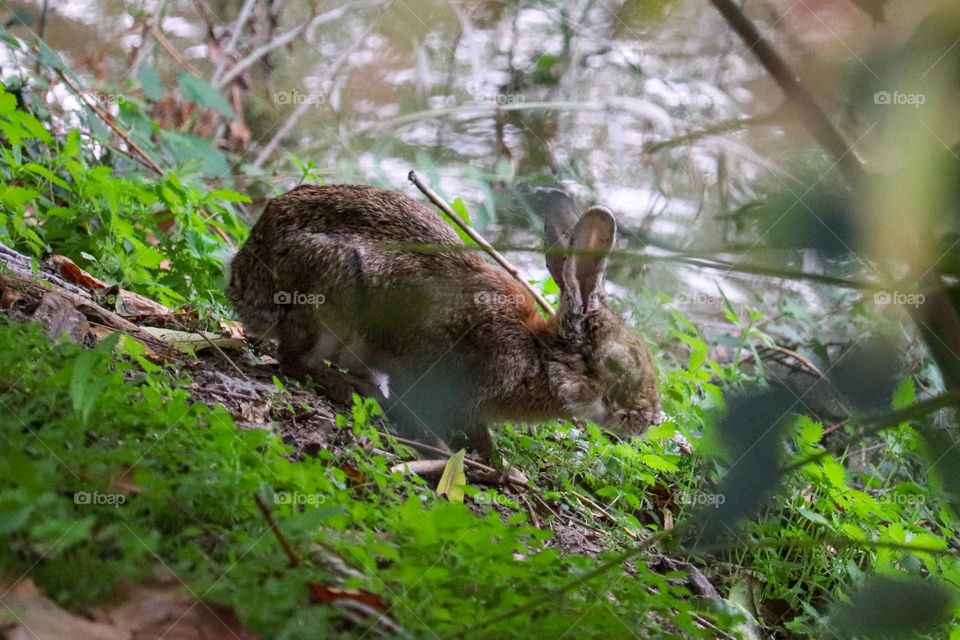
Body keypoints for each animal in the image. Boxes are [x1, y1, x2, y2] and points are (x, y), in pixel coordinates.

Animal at [228, 183, 661, 455]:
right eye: (618, 364)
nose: (652, 419)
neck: (538, 356)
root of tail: (244, 283)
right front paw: (495, 461)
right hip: (331, 302)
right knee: (294, 360)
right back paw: (351, 388)